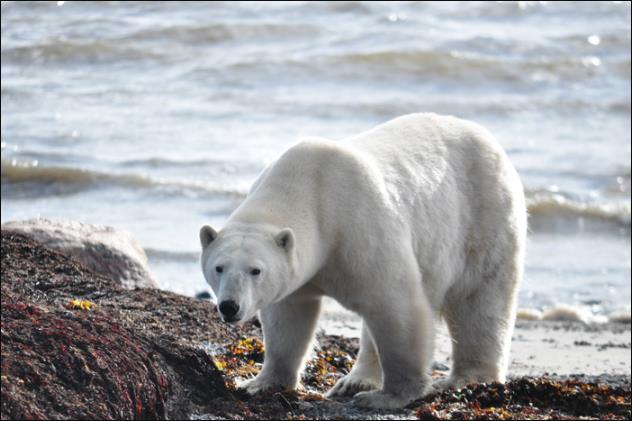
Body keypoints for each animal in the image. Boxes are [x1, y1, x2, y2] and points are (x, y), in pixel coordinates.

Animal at [200, 113, 524, 408]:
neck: (310, 190)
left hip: (483, 216)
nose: (230, 306)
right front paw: (260, 383)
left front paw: (389, 397)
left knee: (479, 301)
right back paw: (355, 380)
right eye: (219, 268)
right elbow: (288, 318)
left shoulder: (358, 229)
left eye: (256, 270)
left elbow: (396, 304)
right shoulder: (300, 271)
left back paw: (469, 377)